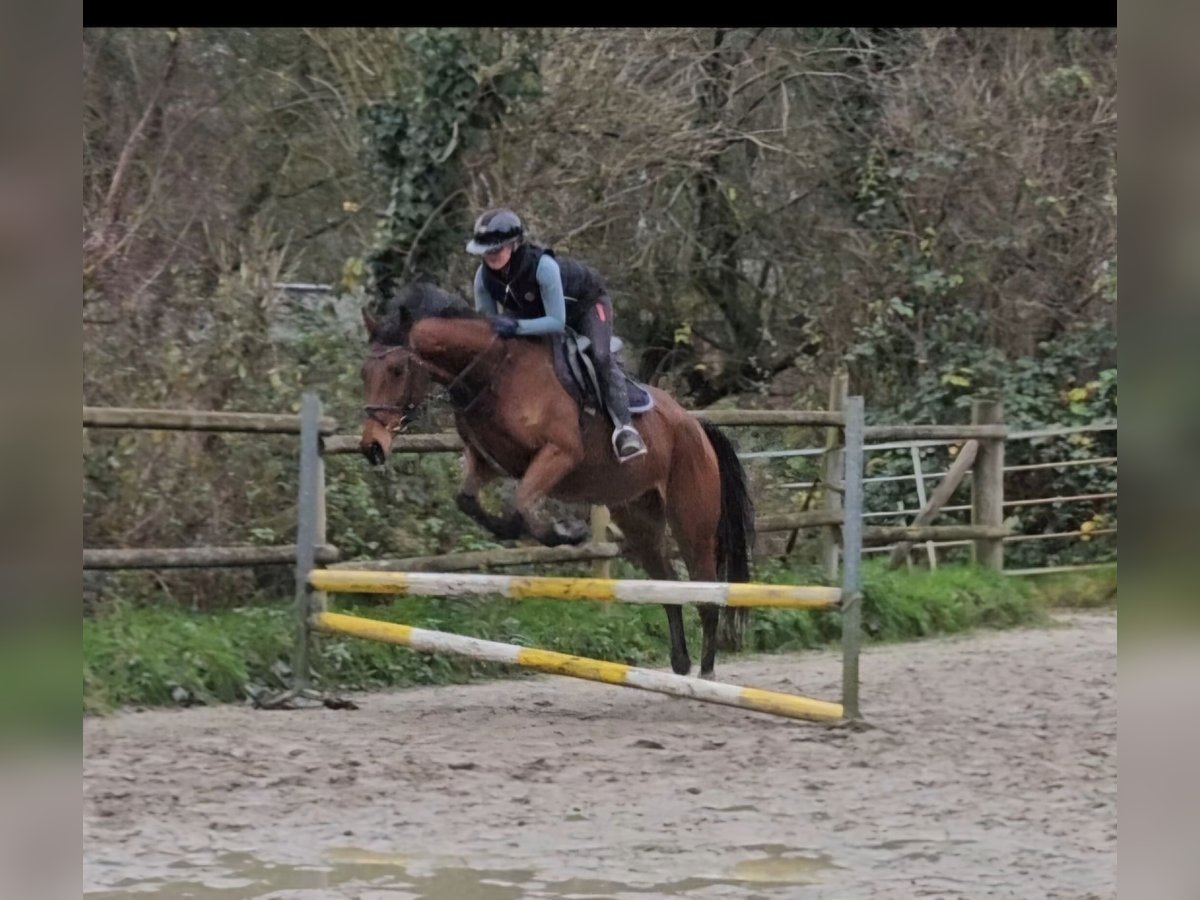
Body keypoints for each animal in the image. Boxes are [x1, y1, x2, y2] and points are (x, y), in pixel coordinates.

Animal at [355, 285, 753, 681]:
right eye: (364, 373)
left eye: (397, 369)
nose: (372, 448)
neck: (492, 371)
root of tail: (695, 425)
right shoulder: (488, 462)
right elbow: (468, 501)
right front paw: (537, 530)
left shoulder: (559, 454)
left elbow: (521, 503)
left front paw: (566, 532)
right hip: (639, 520)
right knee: (668, 586)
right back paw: (680, 666)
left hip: (692, 523)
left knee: (708, 593)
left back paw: (706, 674)